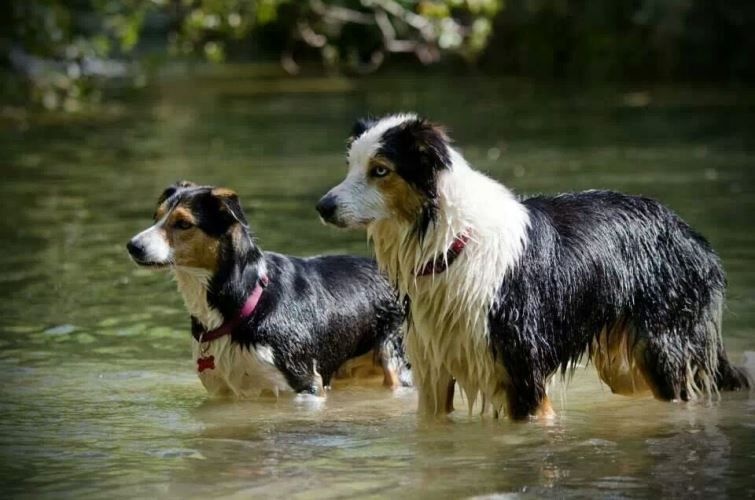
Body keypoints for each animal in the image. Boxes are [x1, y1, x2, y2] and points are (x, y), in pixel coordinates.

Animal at [131, 182, 414, 396]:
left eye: (183, 224)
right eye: (156, 218)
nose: (132, 246)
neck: (244, 298)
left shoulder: (304, 385)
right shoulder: (222, 393)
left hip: (397, 362)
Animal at [318, 112, 752, 418]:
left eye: (380, 170)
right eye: (350, 166)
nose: (322, 207)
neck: (450, 242)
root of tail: (690, 233)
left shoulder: (522, 373)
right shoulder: (434, 372)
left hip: (661, 347)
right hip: (623, 363)